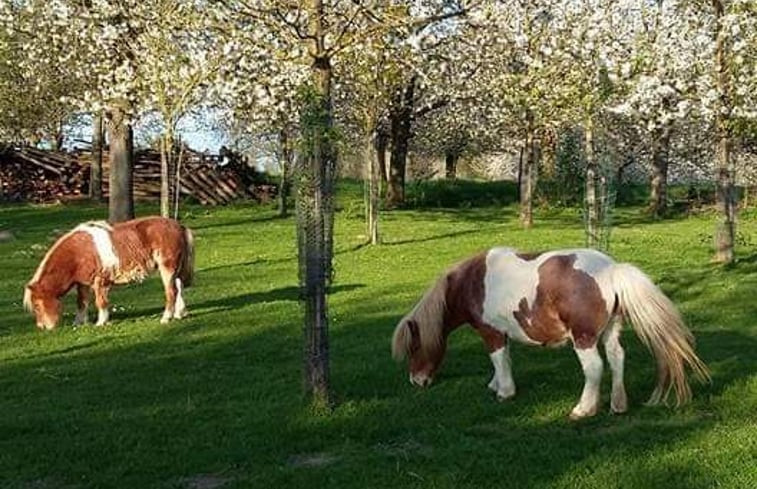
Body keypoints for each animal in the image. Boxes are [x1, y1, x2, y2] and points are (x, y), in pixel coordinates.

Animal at [24, 216, 195, 328]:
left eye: (37, 305)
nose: (42, 327)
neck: (78, 253)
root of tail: (179, 226)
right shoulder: (82, 283)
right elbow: (81, 302)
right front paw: (79, 323)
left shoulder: (100, 280)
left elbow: (100, 301)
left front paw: (101, 322)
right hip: (176, 270)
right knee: (179, 288)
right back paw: (179, 314)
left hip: (167, 268)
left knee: (171, 292)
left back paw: (166, 318)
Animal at [390, 248, 708, 420]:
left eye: (414, 348)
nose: (417, 381)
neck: (472, 282)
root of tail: (610, 270)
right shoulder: (502, 333)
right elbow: (504, 360)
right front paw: (496, 385)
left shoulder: (491, 333)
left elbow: (497, 359)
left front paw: (504, 392)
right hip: (610, 332)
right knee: (618, 359)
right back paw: (618, 406)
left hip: (583, 339)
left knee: (595, 368)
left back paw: (583, 409)